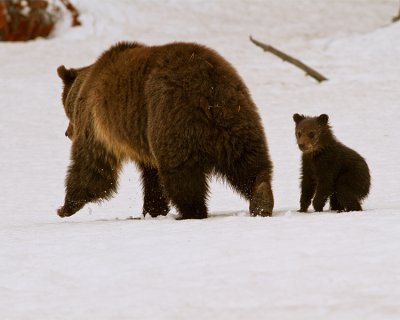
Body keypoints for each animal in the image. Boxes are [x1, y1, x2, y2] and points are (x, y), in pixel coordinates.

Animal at [56, 41, 274, 219]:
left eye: (66, 109)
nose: (67, 133)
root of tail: (206, 84)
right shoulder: (142, 137)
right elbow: (152, 177)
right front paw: (153, 210)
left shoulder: (97, 124)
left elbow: (92, 164)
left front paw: (65, 207)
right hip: (235, 116)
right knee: (248, 162)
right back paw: (262, 199)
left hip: (170, 117)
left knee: (181, 175)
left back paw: (190, 212)